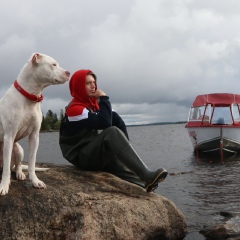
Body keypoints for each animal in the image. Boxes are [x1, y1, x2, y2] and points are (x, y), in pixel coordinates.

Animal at [0, 52, 70, 195]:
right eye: (54, 64)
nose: (68, 72)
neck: (30, 96)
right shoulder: (9, 136)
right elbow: (6, 171)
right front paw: (4, 185)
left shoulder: (34, 136)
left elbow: (32, 163)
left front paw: (35, 181)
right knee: (8, 167)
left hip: (19, 149)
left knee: (17, 165)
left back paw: (20, 173)